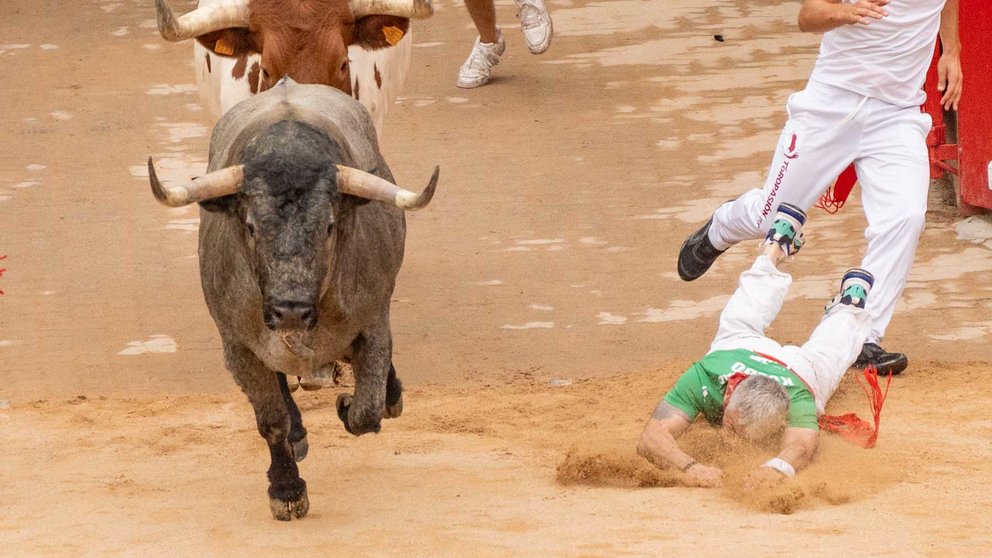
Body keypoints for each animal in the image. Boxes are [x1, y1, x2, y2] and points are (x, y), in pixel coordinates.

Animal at [145, 79, 440, 520]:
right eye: (250, 226)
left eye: (330, 225)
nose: (291, 312)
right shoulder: (239, 348)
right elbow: (272, 421)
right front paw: (286, 489)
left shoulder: (373, 324)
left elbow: (366, 411)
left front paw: (349, 403)